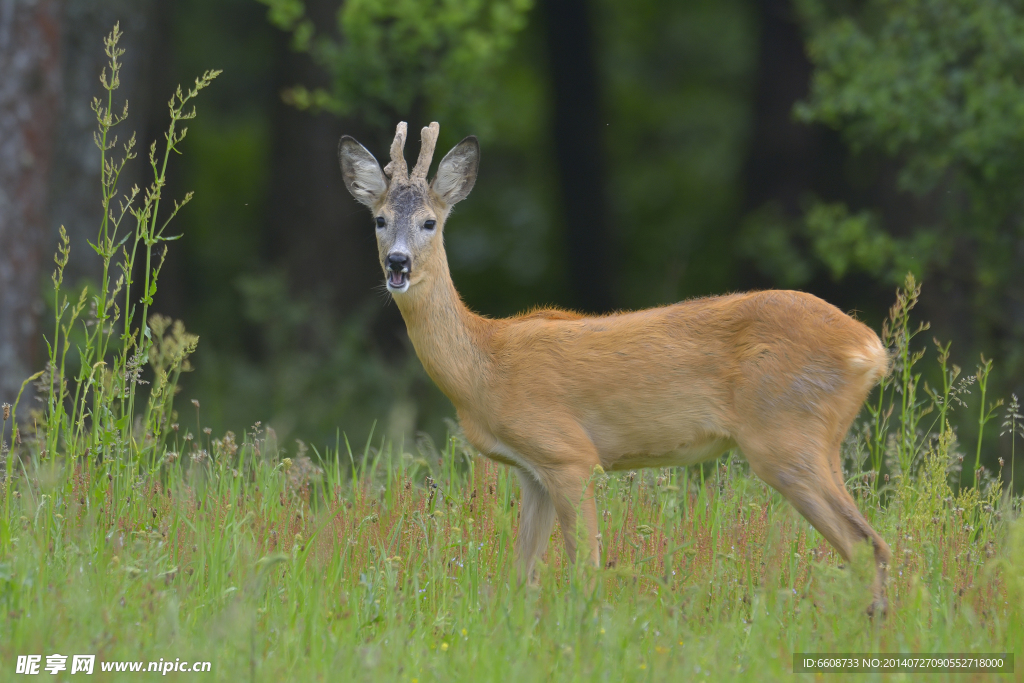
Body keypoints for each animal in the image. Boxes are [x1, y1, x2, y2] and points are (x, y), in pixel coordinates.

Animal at [339, 120, 892, 610]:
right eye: (379, 220)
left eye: (430, 222)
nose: (398, 264)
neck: (484, 364)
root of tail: (870, 347)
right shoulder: (531, 473)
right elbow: (522, 576)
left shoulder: (569, 454)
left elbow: (585, 569)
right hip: (819, 439)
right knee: (870, 546)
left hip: (785, 435)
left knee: (868, 545)